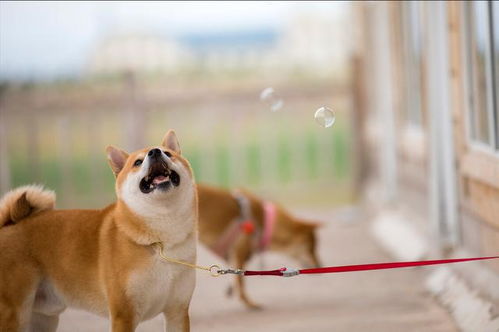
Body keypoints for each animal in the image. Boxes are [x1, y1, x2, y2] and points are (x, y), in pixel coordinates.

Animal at [0, 130, 198, 332]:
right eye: (137, 162)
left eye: (168, 153)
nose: (155, 152)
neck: (161, 239)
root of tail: (8, 225)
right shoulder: (123, 315)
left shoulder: (177, 312)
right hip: (14, 314)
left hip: (42, 318)